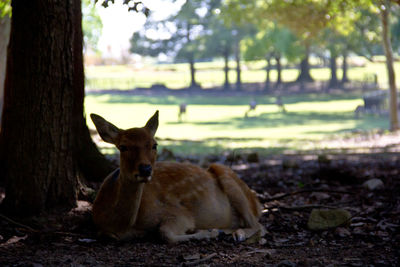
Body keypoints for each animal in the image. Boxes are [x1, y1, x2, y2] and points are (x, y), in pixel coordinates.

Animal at [90, 110, 266, 244]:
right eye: (123, 146)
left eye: (154, 145)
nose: (145, 169)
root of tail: (257, 202)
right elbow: (107, 235)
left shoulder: (179, 212)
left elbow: (165, 233)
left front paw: (209, 232)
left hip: (226, 174)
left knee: (259, 225)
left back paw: (237, 234)